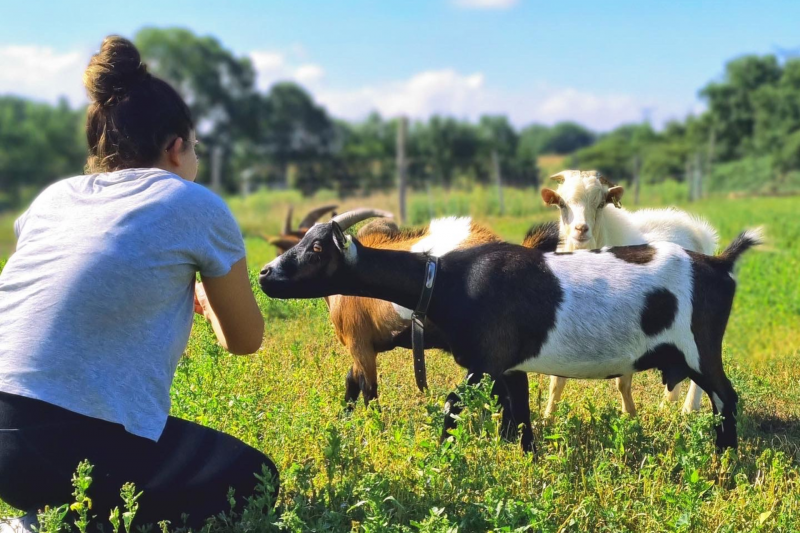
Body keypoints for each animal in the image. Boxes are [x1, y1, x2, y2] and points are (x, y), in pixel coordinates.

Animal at [260, 222, 760, 450]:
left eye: (317, 247)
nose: (265, 274)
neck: (445, 280)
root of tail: (719, 264)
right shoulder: (510, 366)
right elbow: (518, 419)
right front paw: (527, 461)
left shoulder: (487, 360)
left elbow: (451, 405)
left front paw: (442, 457)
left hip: (700, 349)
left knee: (726, 397)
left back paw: (725, 457)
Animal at [536, 168, 720, 414]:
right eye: (562, 204)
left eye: (600, 204)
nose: (581, 229)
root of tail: (697, 230)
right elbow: (557, 380)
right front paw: (548, 418)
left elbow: (622, 382)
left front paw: (629, 416)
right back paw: (667, 403)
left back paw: (689, 408)